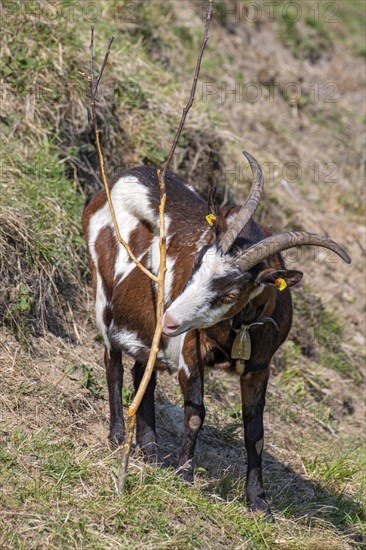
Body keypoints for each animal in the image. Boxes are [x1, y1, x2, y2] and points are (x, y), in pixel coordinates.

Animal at [82, 153, 348, 516]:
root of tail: (126, 176)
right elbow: (196, 413)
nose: (170, 319)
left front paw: (259, 502)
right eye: (197, 263)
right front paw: (184, 475)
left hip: (148, 326)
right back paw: (117, 438)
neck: (239, 328)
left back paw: (150, 452)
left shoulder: (259, 368)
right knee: (113, 363)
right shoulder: (189, 350)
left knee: (143, 371)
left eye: (232, 293)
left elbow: (255, 433)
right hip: (103, 294)